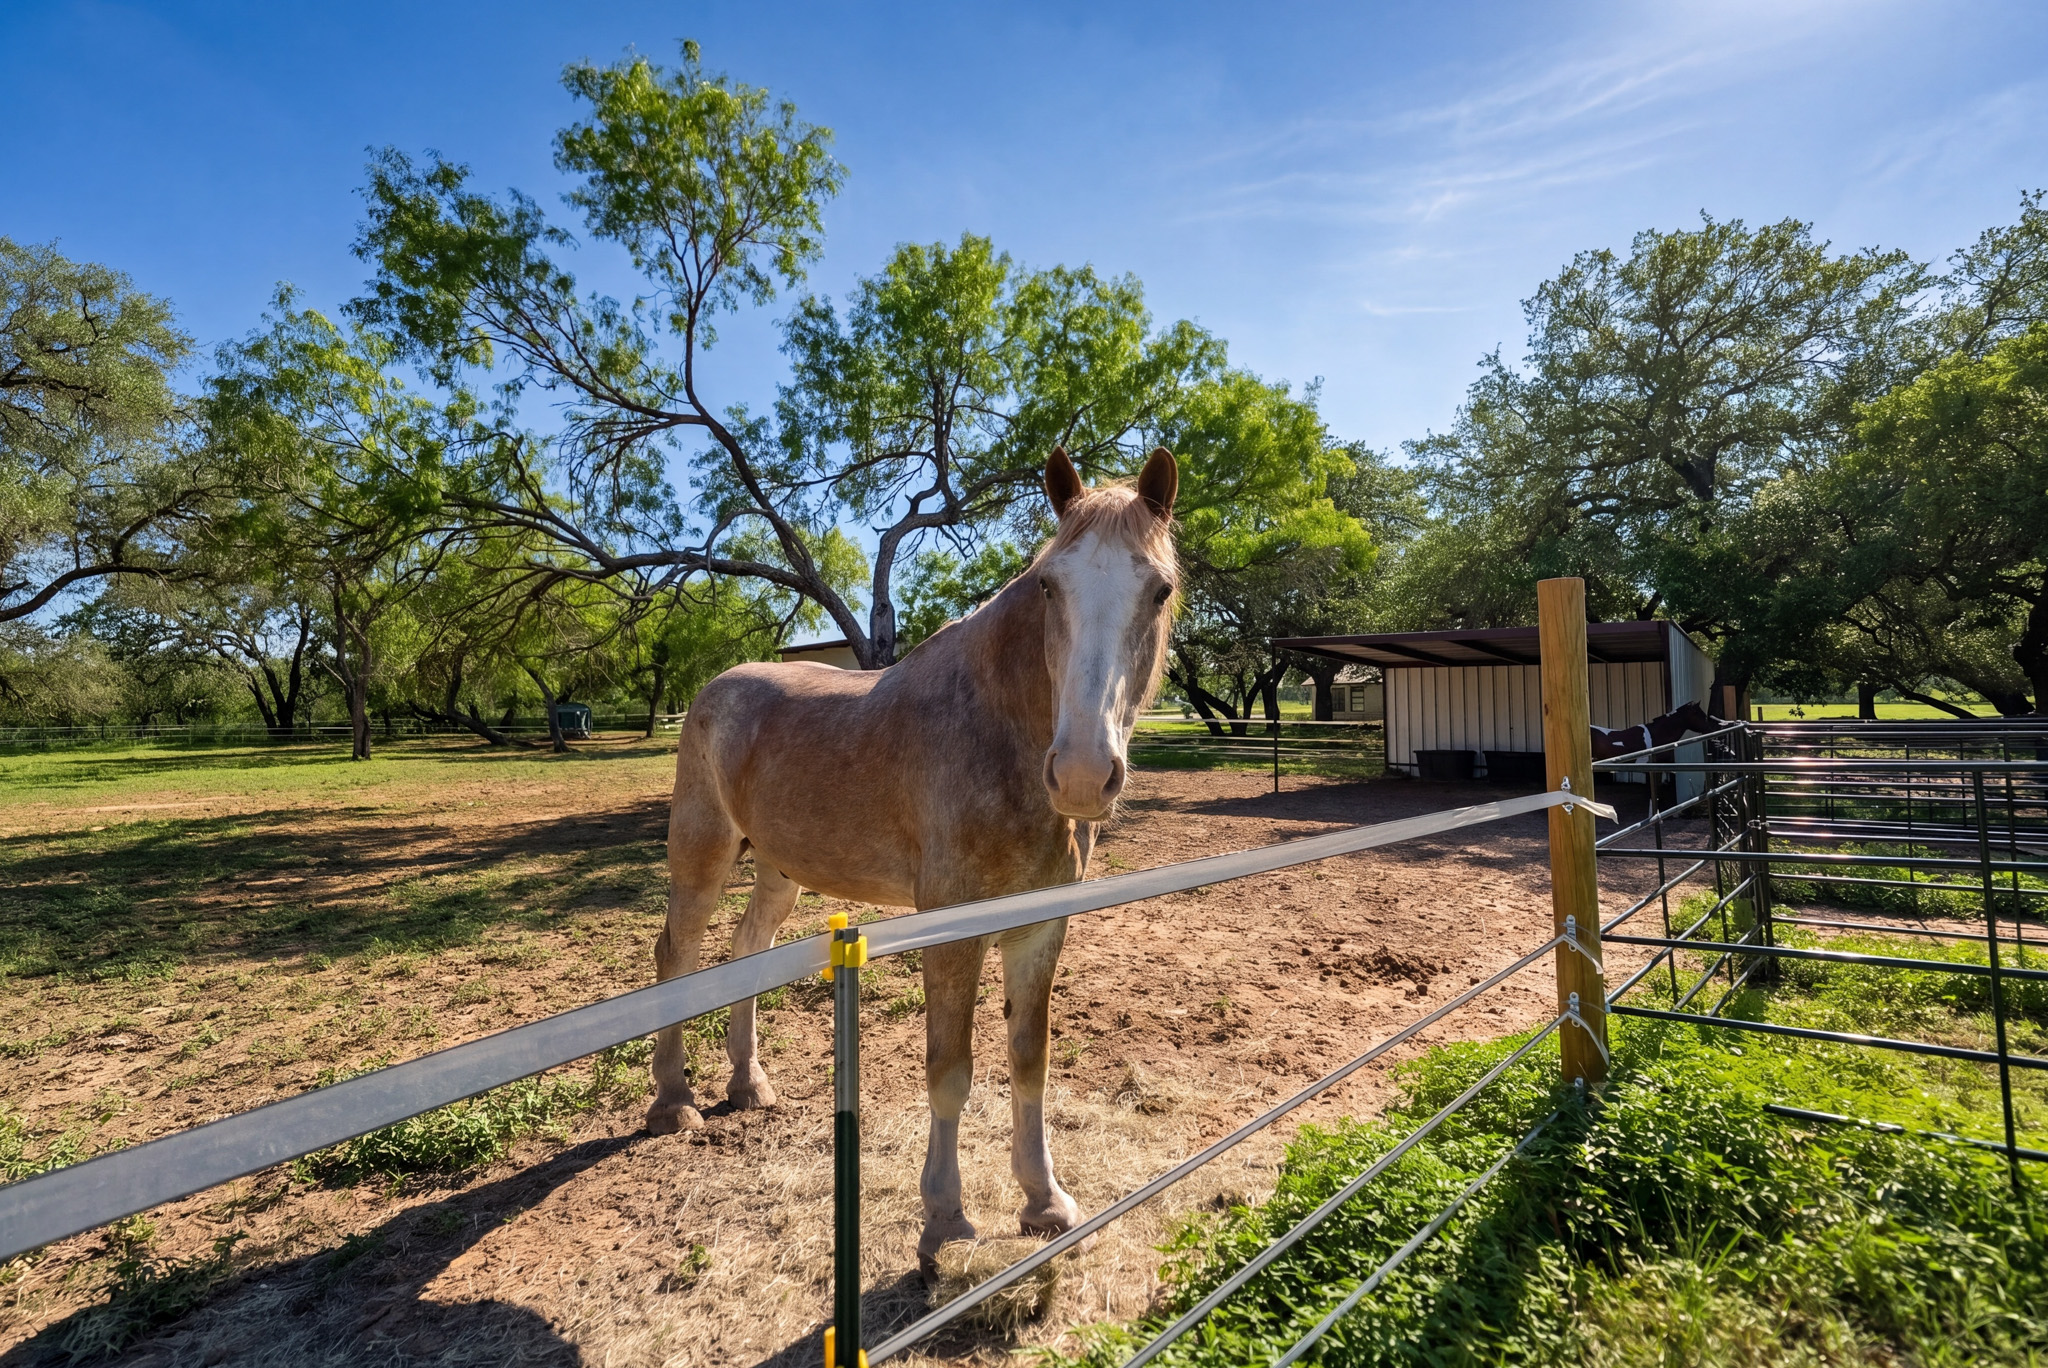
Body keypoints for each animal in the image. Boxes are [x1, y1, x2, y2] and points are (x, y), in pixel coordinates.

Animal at [650, 446, 1180, 1270]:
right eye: (1049, 586)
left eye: (1158, 590)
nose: (1083, 775)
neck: (997, 730)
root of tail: (720, 686)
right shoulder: (952, 928)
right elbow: (950, 1069)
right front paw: (946, 1223)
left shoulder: (1041, 926)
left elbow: (1029, 1057)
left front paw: (1044, 1201)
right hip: (701, 857)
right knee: (677, 956)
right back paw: (674, 1104)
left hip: (778, 869)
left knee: (746, 952)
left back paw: (748, 1085)